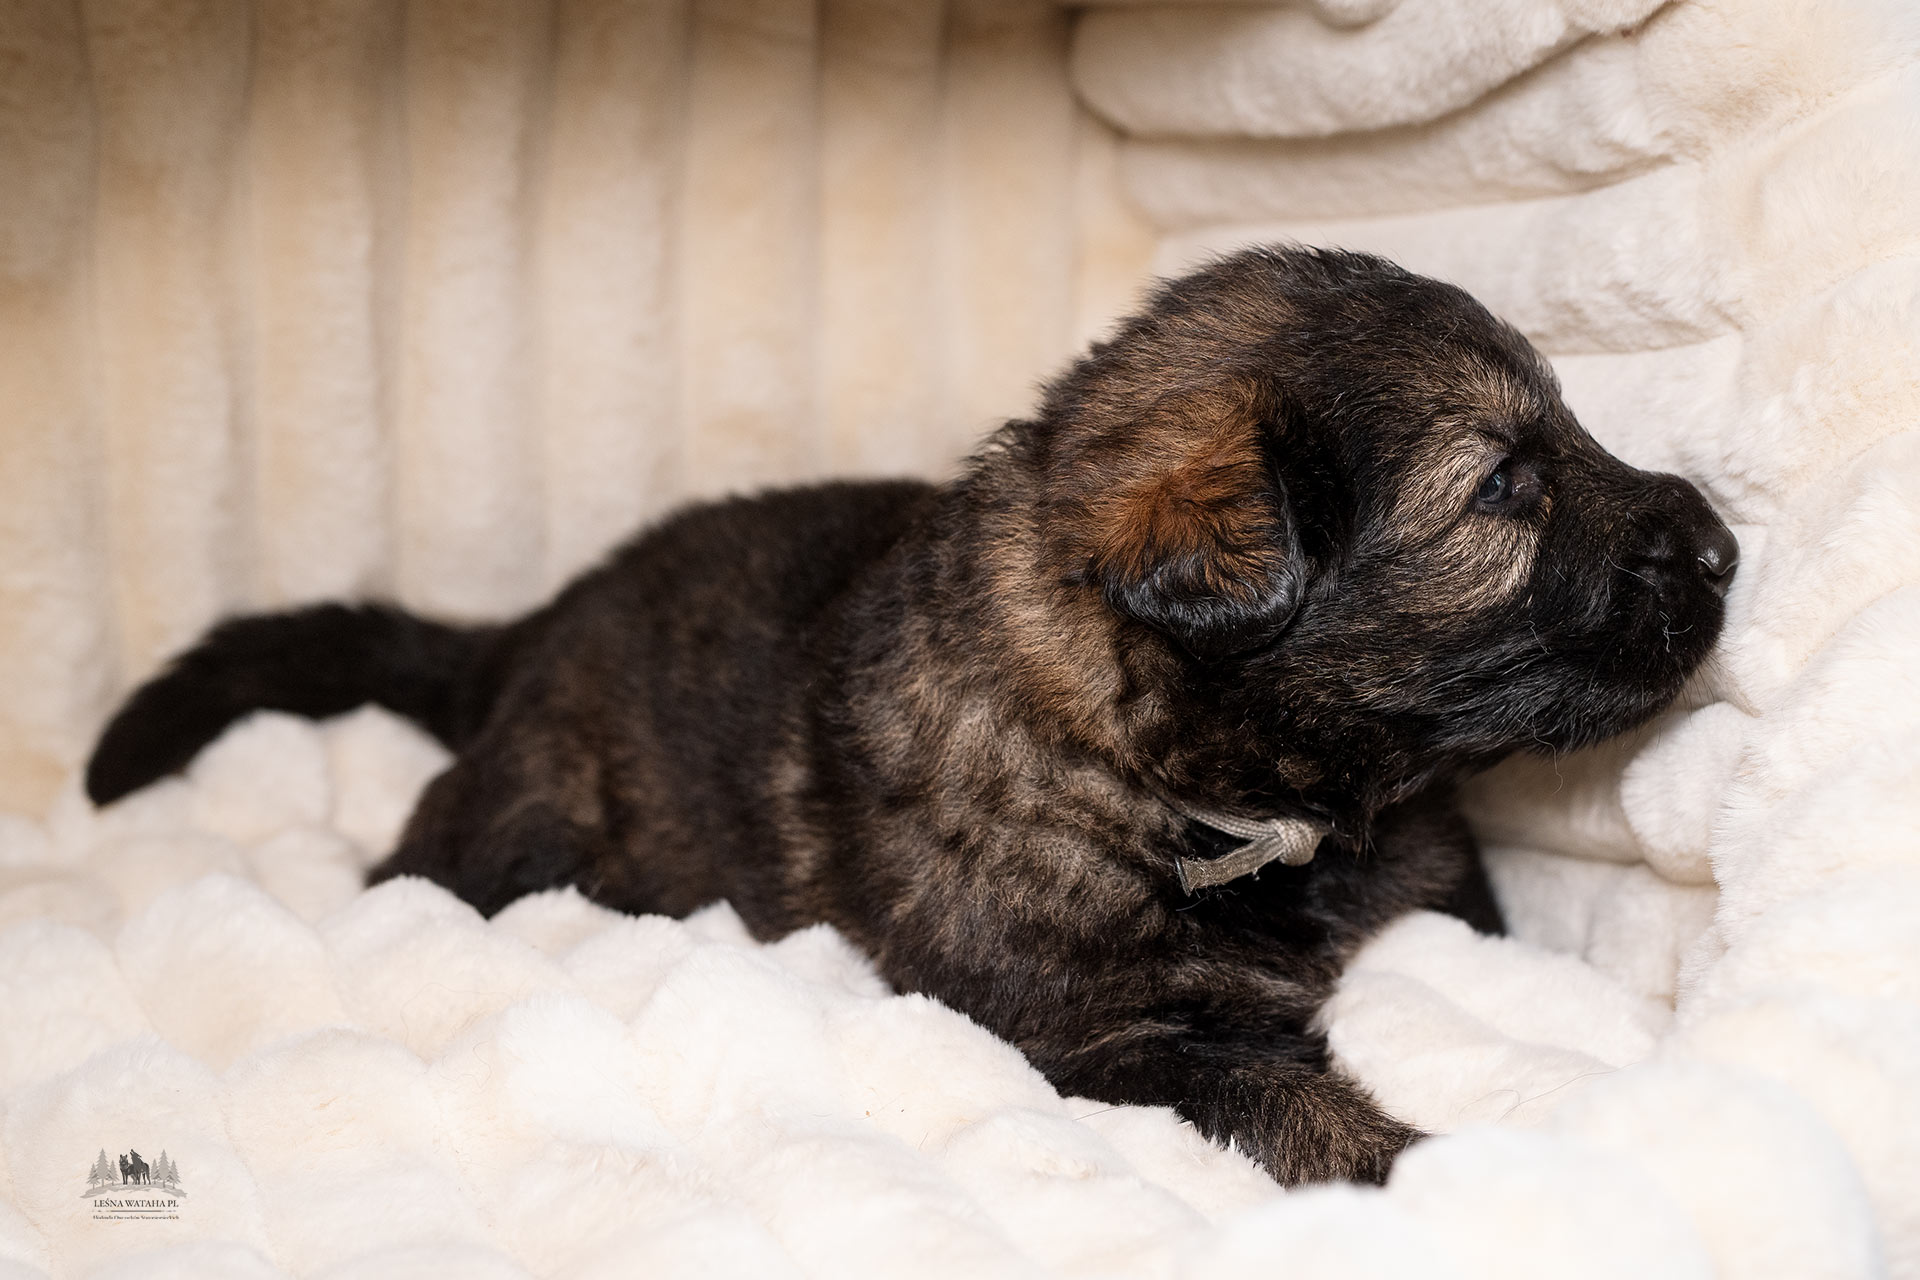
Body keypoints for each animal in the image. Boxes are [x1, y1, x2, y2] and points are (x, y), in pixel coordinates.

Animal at [86, 247, 1737, 1185]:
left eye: (1566, 433)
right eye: (1504, 485)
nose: (1726, 548)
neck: (1189, 782)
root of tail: (531, 631)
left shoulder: (1440, 902)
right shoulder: (1117, 1041)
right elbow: (1306, 1108)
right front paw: (1448, 1174)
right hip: (516, 833)